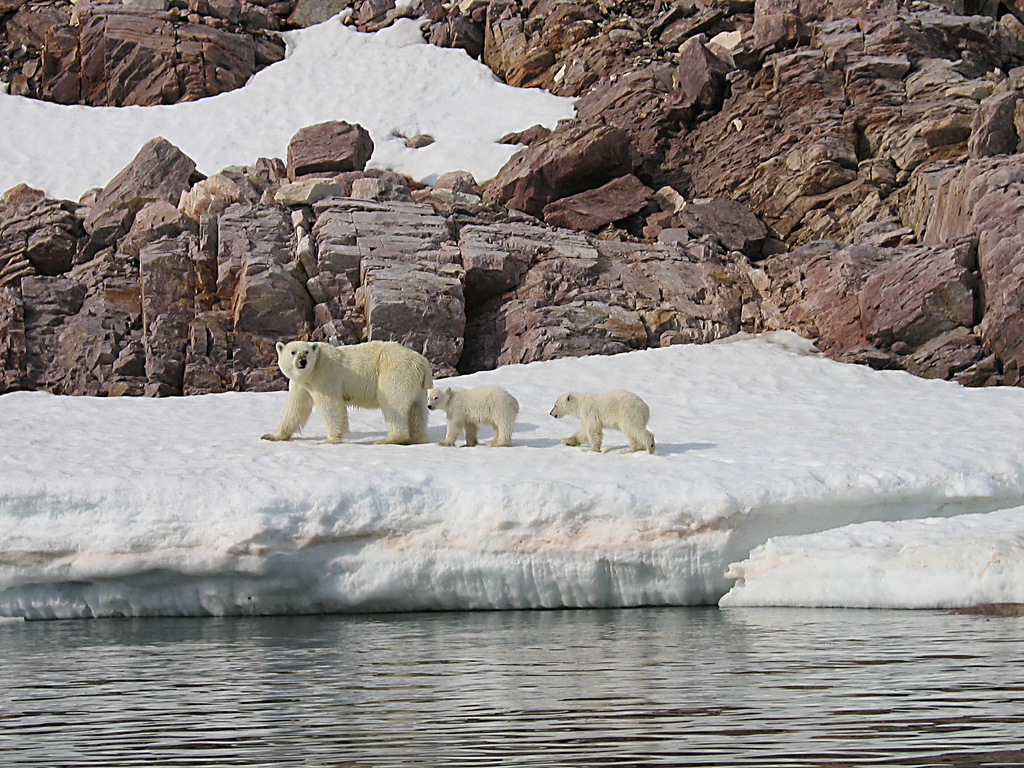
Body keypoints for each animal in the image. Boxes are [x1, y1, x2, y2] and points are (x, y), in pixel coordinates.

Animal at [260, 342, 432, 444]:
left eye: (306, 351)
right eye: (293, 352)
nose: (302, 361)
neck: (312, 372)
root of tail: (423, 362)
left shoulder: (324, 375)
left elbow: (331, 405)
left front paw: (329, 440)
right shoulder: (300, 384)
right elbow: (296, 408)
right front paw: (271, 435)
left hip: (395, 371)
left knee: (393, 403)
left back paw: (387, 439)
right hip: (417, 386)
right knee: (418, 410)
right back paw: (417, 439)